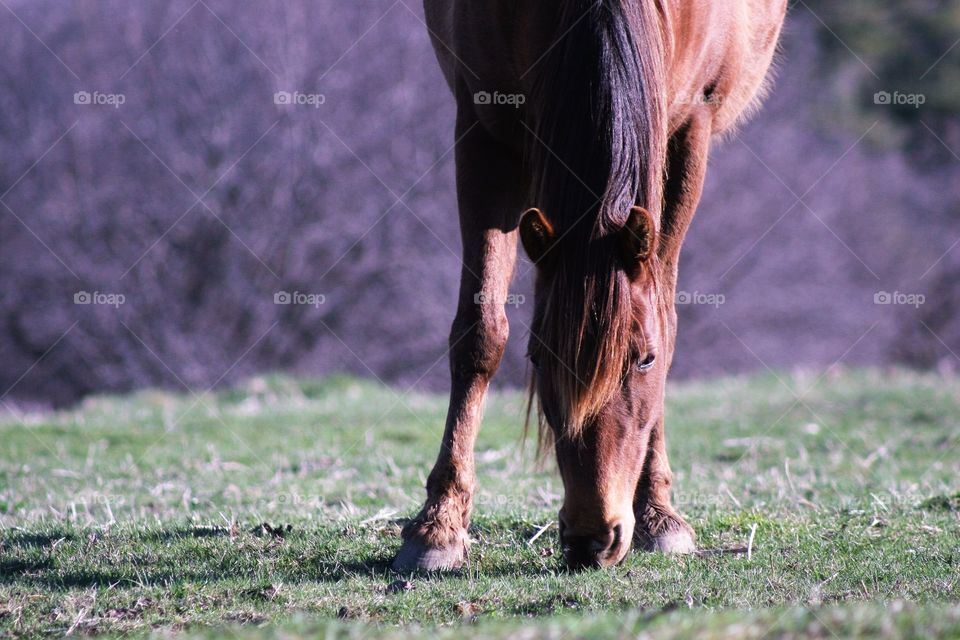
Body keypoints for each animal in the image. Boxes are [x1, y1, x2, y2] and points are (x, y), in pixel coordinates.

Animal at [394, 0, 787, 571]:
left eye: (644, 359)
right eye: (537, 358)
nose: (591, 538)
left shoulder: (690, 127)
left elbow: (665, 317)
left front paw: (659, 516)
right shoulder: (483, 125)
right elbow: (480, 332)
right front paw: (437, 528)